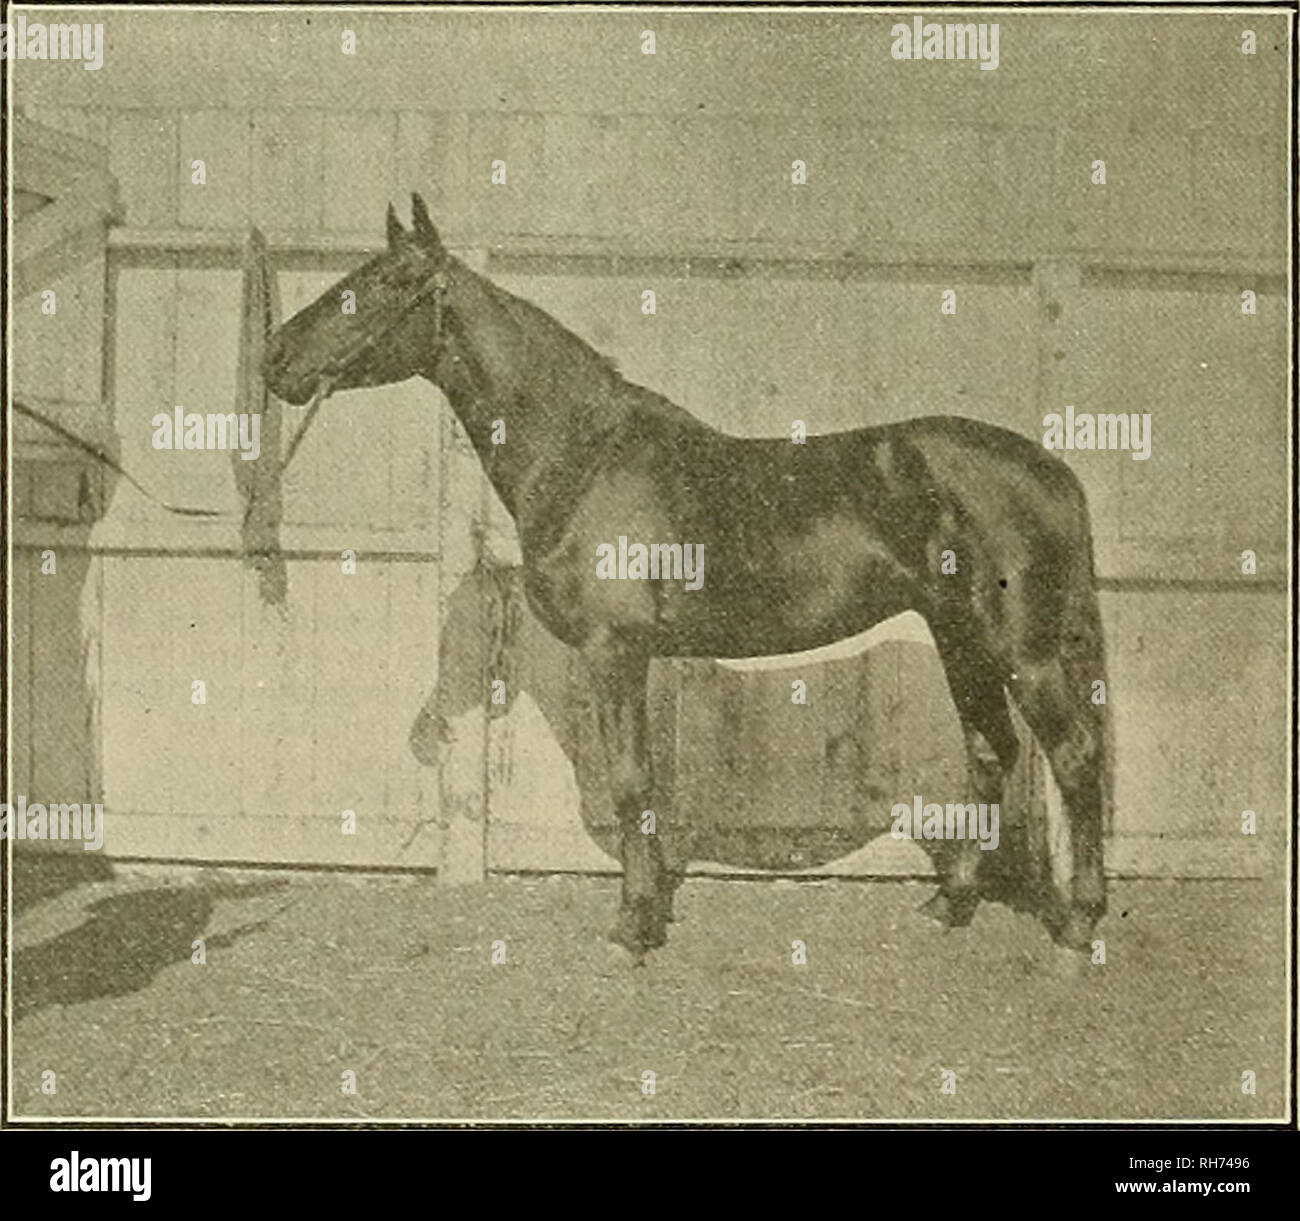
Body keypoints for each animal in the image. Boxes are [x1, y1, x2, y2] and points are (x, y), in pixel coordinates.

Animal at [262, 194, 1111, 958]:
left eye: (379, 284)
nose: (274, 356)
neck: (583, 457)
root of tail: (1053, 469)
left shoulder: (616, 651)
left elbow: (633, 781)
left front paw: (635, 925)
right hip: (958, 635)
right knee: (992, 749)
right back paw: (950, 902)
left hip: (1022, 649)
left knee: (1073, 756)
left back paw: (1078, 922)